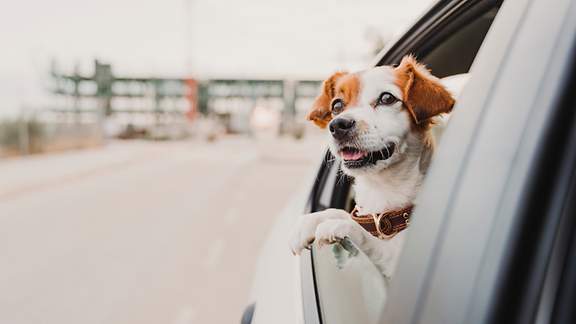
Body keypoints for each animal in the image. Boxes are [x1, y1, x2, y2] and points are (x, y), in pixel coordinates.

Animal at [290, 55, 456, 278]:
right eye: (337, 105)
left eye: (387, 98)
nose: (338, 125)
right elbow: (343, 213)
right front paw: (311, 220)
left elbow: (369, 239)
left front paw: (340, 226)